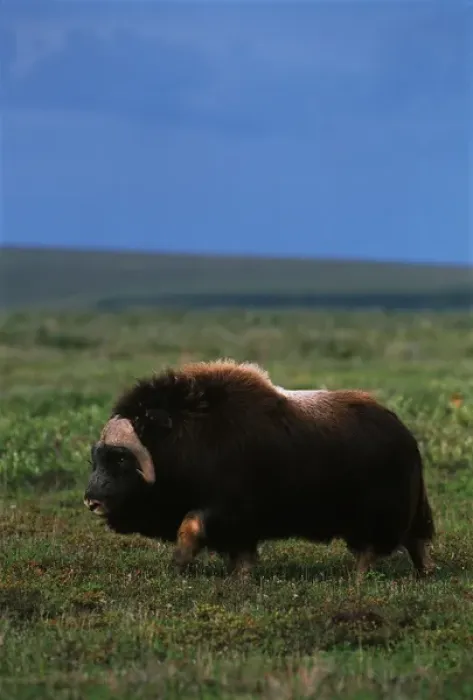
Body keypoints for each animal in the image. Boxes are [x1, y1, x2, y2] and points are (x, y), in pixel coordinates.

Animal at [83, 358, 435, 580]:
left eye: (120, 458)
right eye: (95, 458)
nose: (91, 501)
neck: (183, 437)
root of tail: (403, 432)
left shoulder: (227, 506)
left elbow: (192, 525)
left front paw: (179, 566)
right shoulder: (238, 523)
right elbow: (237, 551)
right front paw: (239, 577)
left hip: (381, 512)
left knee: (380, 546)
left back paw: (360, 578)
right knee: (411, 541)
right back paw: (423, 573)